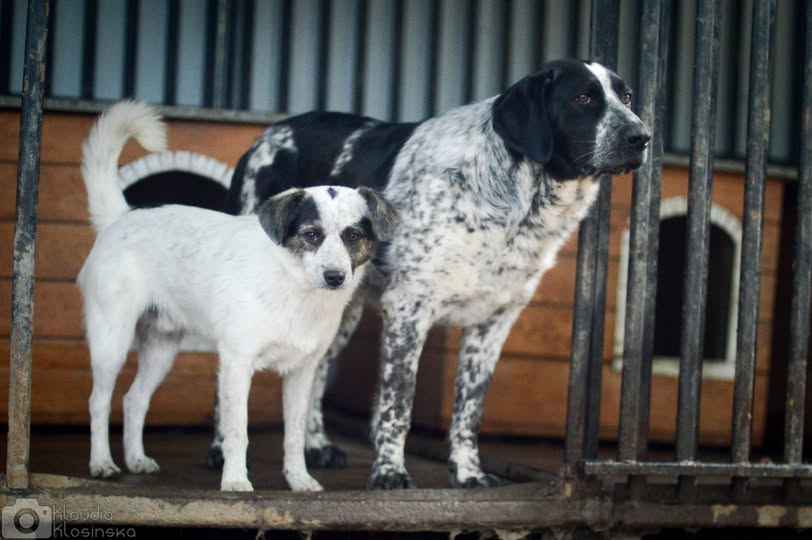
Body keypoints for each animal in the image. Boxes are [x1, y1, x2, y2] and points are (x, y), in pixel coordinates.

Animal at [78, 102, 396, 494]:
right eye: (311, 234)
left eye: (353, 235)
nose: (335, 277)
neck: (293, 287)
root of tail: (122, 218)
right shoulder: (237, 363)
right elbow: (236, 431)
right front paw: (234, 480)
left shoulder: (302, 373)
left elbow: (294, 435)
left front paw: (299, 480)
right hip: (112, 341)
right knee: (99, 401)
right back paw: (102, 463)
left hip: (161, 347)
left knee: (134, 400)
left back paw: (137, 460)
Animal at [206, 59, 652, 490]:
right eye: (582, 98)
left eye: (627, 96)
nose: (642, 137)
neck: (511, 197)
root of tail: (266, 136)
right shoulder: (409, 309)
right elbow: (398, 402)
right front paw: (389, 473)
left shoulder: (494, 323)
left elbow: (470, 409)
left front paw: (468, 472)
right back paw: (221, 450)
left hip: (340, 311)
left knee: (315, 372)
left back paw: (315, 446)